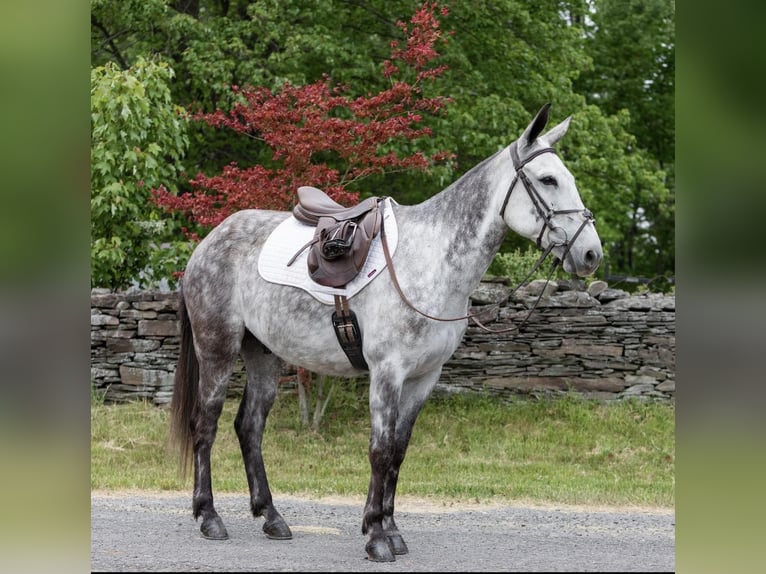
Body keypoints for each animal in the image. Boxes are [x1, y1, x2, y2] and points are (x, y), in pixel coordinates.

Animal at [171, 103, 604, 564]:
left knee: (249, 427)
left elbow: (397, 451)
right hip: (217, 349)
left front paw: (390, 531)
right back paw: (209, 517)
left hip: (264, 355)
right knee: (206, 424)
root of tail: (209, 242)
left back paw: (272, 517)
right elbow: (379, 451)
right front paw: (377, 538)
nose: (590, 253)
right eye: (548, 179)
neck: (431, 260)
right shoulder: (387, 373)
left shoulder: (422, 378)